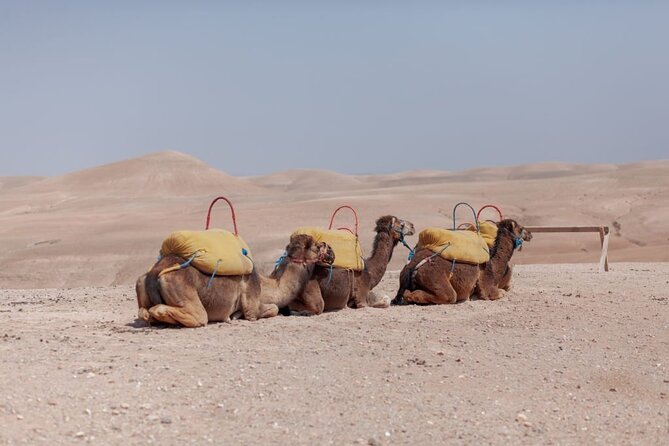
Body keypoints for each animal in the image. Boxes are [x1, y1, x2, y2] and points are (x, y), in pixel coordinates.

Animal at [135, 234, 335, 327]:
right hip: (184, 293)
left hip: (140, 282)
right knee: (188, 314)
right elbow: (273, 308)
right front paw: (235, 315)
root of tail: (155, 273)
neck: (267, 286)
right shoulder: (252, 307)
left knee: (144, 312)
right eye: (317, 246)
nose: (331, 251)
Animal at [392, 219, 532, 305]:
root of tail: (413, 266)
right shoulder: (487, 285)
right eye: (521, 228)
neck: (494, 263)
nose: (530, 234)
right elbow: (499, 292)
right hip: (434, 277)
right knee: (448, 295)